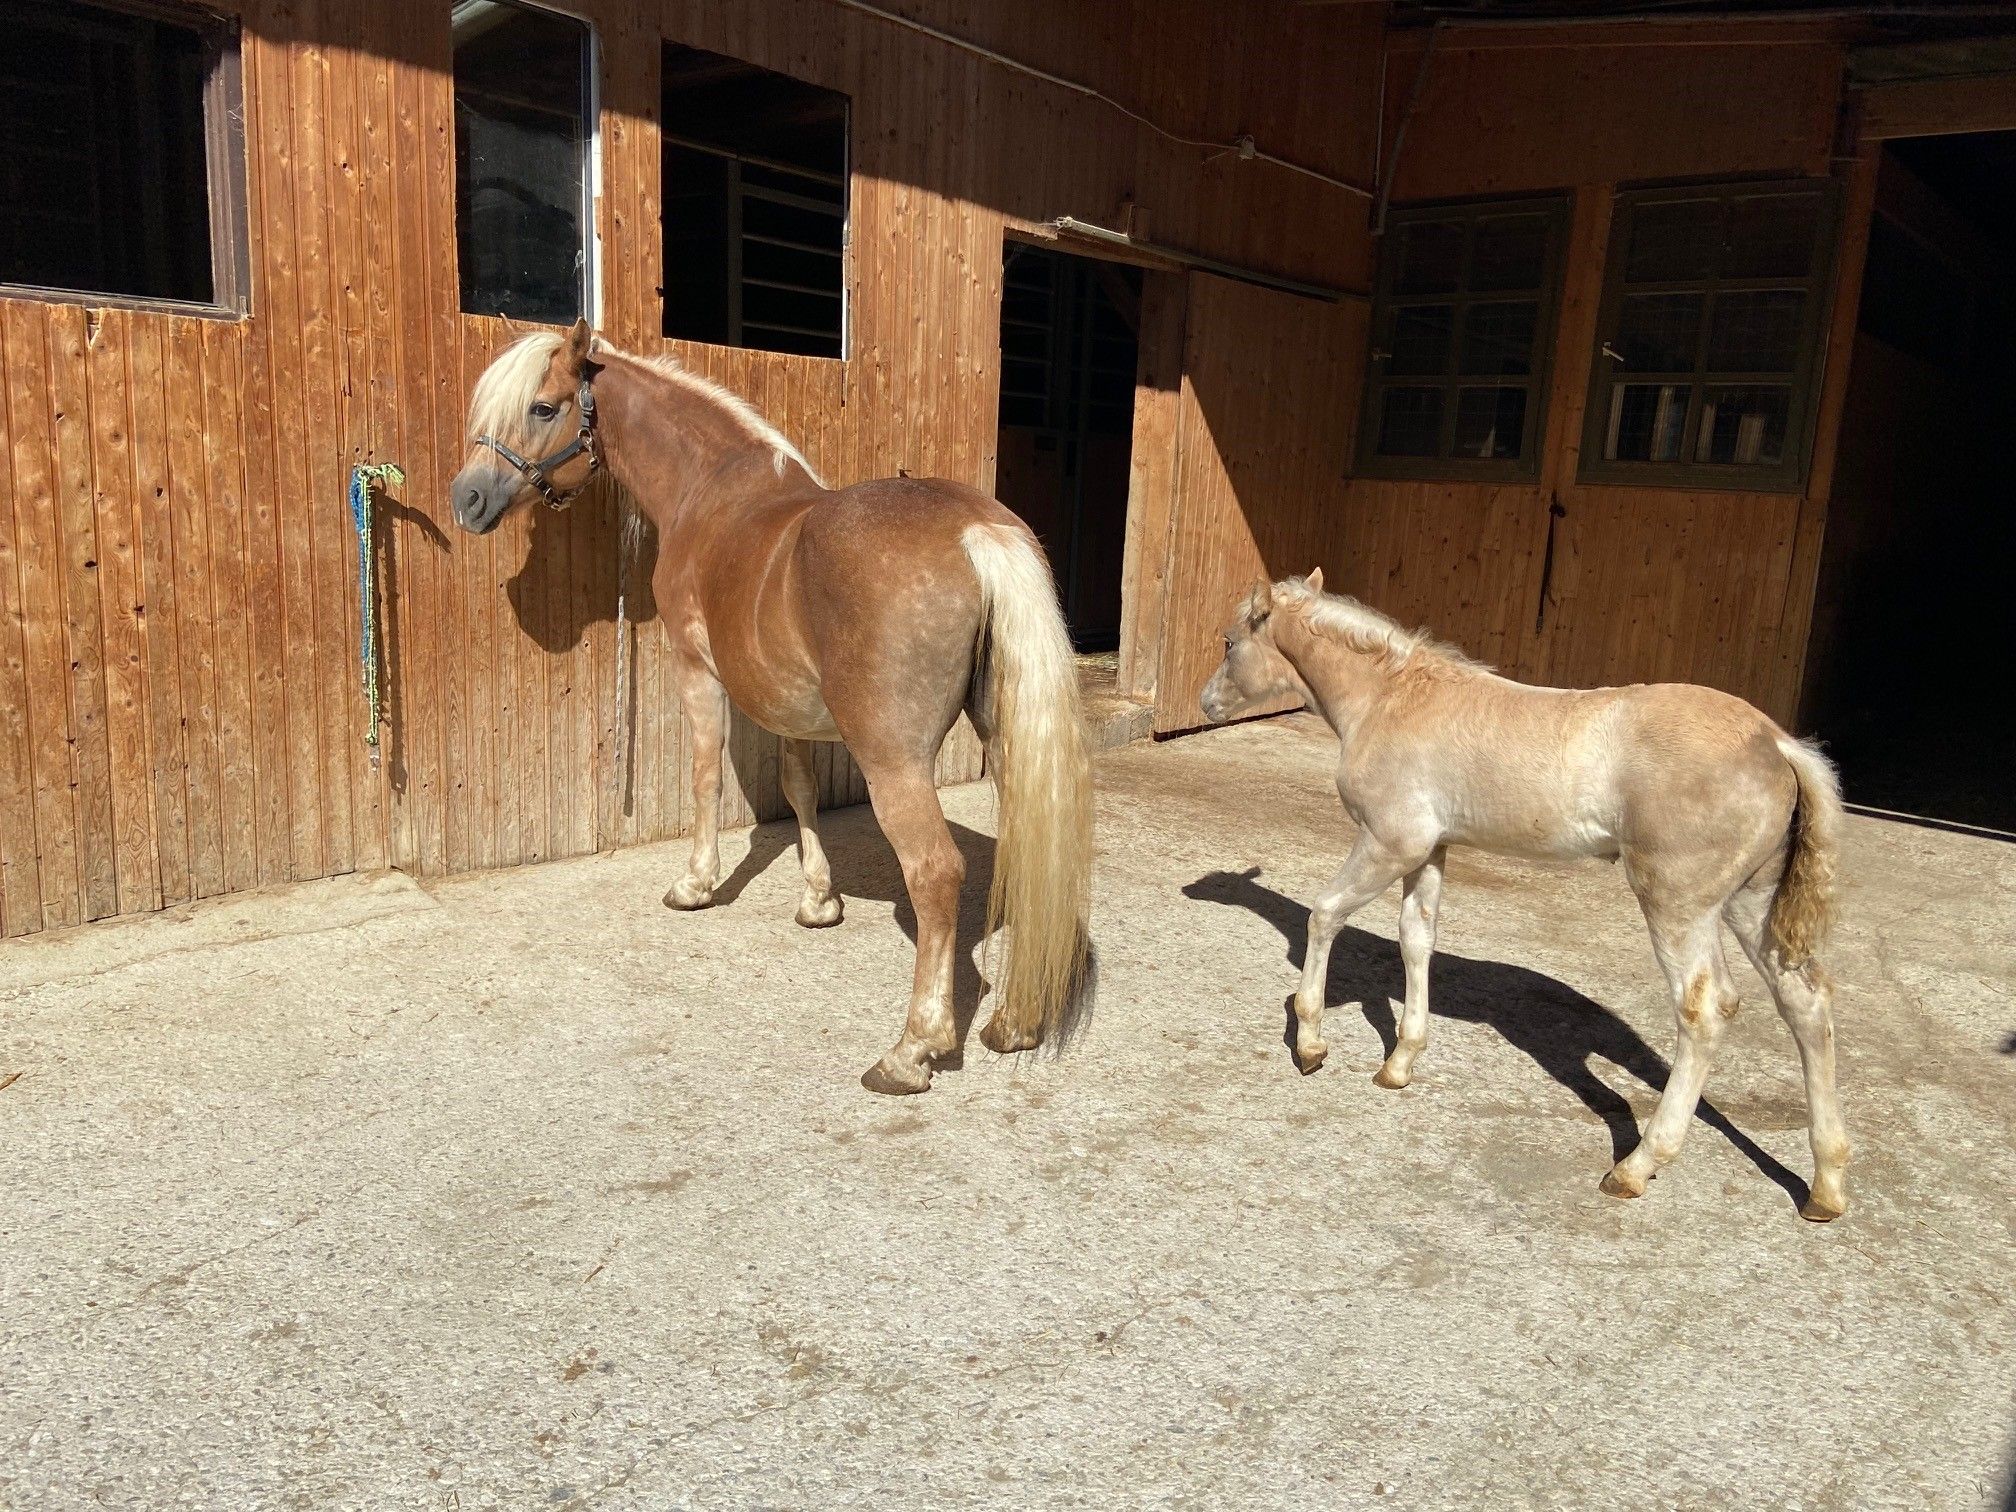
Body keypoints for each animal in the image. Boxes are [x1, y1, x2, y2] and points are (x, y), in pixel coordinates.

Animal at [450, 320, 1092, 1095]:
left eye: (543, 407)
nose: (467, 498)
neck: (710, 491)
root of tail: (977, 533)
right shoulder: (793, 704)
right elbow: (799, 787)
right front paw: (818, 901)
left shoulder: (697, 670)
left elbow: (705, 777)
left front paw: (695, 884)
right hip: (1004, 737)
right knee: (1030, 851)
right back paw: (1017, 1022)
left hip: (893, 760)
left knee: (936, 873)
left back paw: (912, 1049)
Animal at [1200, 571, 1849, 1220]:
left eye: (1229, 642)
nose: (1207, 702)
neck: (1389, 699)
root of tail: (1777, 743)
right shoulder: (1430, 850)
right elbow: (1416, 940)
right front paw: (1400, 1064)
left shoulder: (1391, 842)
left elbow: (1324, 914)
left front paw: (1310, 1044)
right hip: (1746, 903)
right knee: (1803, 1001)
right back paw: (1826, 1185)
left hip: (1676, 903)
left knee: (1704, 1009)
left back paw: (1637, 1166)